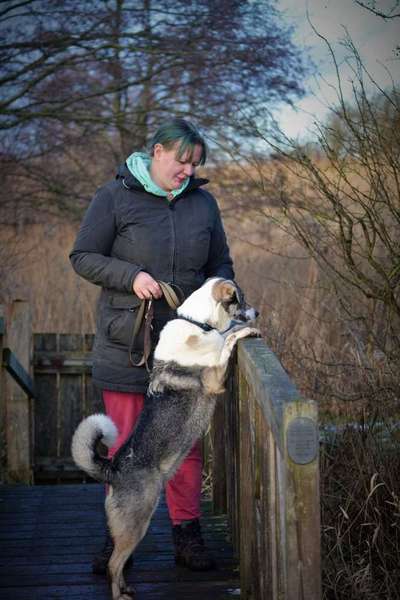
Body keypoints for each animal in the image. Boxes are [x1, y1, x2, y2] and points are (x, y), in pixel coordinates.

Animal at [72, 278, 260, 600]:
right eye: (241, 299)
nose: (257, 313)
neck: (198, 323)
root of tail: (113, 468)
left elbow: (224, 336)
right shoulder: (214, 378)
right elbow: (227, 340)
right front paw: (244, 330)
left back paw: (128, 588)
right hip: (138, 521)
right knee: (113, 563)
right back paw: (120, 594)